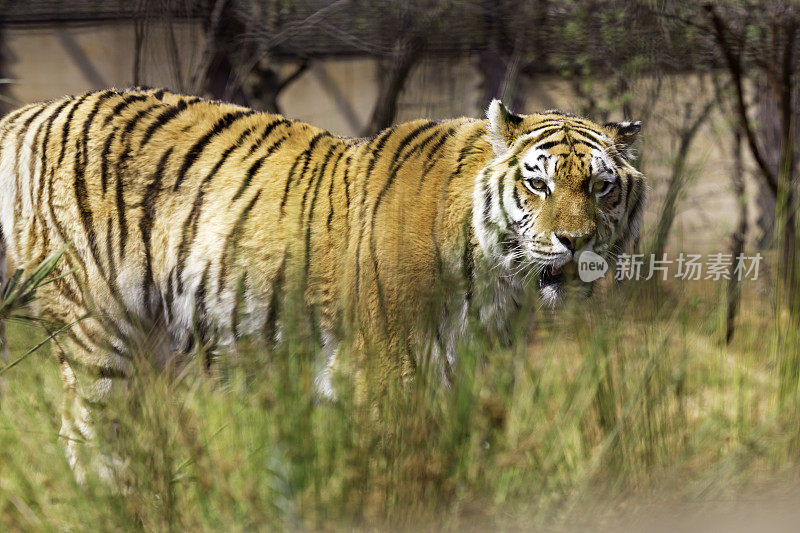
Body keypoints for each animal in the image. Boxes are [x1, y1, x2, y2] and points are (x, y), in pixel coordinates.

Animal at [0, 88, 644, 478]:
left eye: (601, 187)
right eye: (539, 184)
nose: (577, 241)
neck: (496, 280)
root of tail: (35, 111)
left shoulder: (476, 378)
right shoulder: (390, 373)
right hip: (97, 332)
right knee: (89, 437)